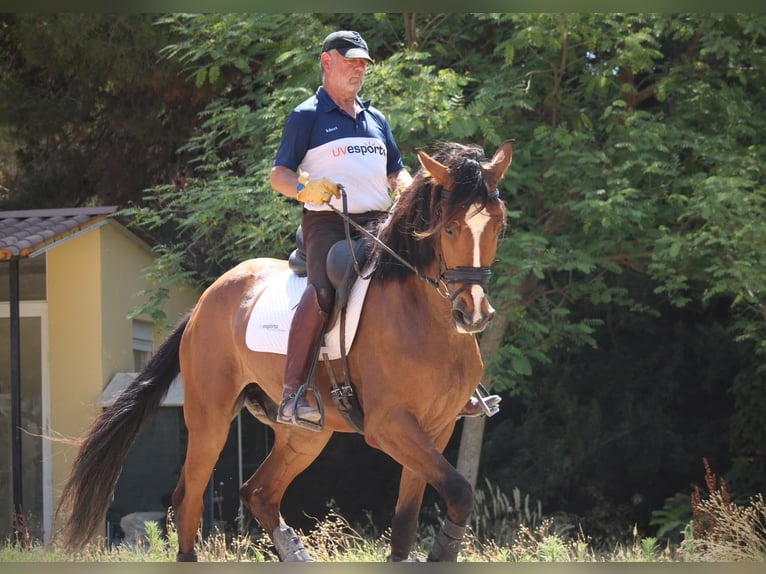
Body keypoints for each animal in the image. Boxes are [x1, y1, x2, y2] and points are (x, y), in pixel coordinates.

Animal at [54, 139, 514, 562]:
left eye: (498, 227)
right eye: (449, 228)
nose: (473, 313)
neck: (426, 320)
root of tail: (204, 301)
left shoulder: (437, 427)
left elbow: (408, 518)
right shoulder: (390, 426)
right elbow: (459, 490)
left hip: (305, 433)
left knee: (259, 492)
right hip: (210, 420)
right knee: (189, 498)